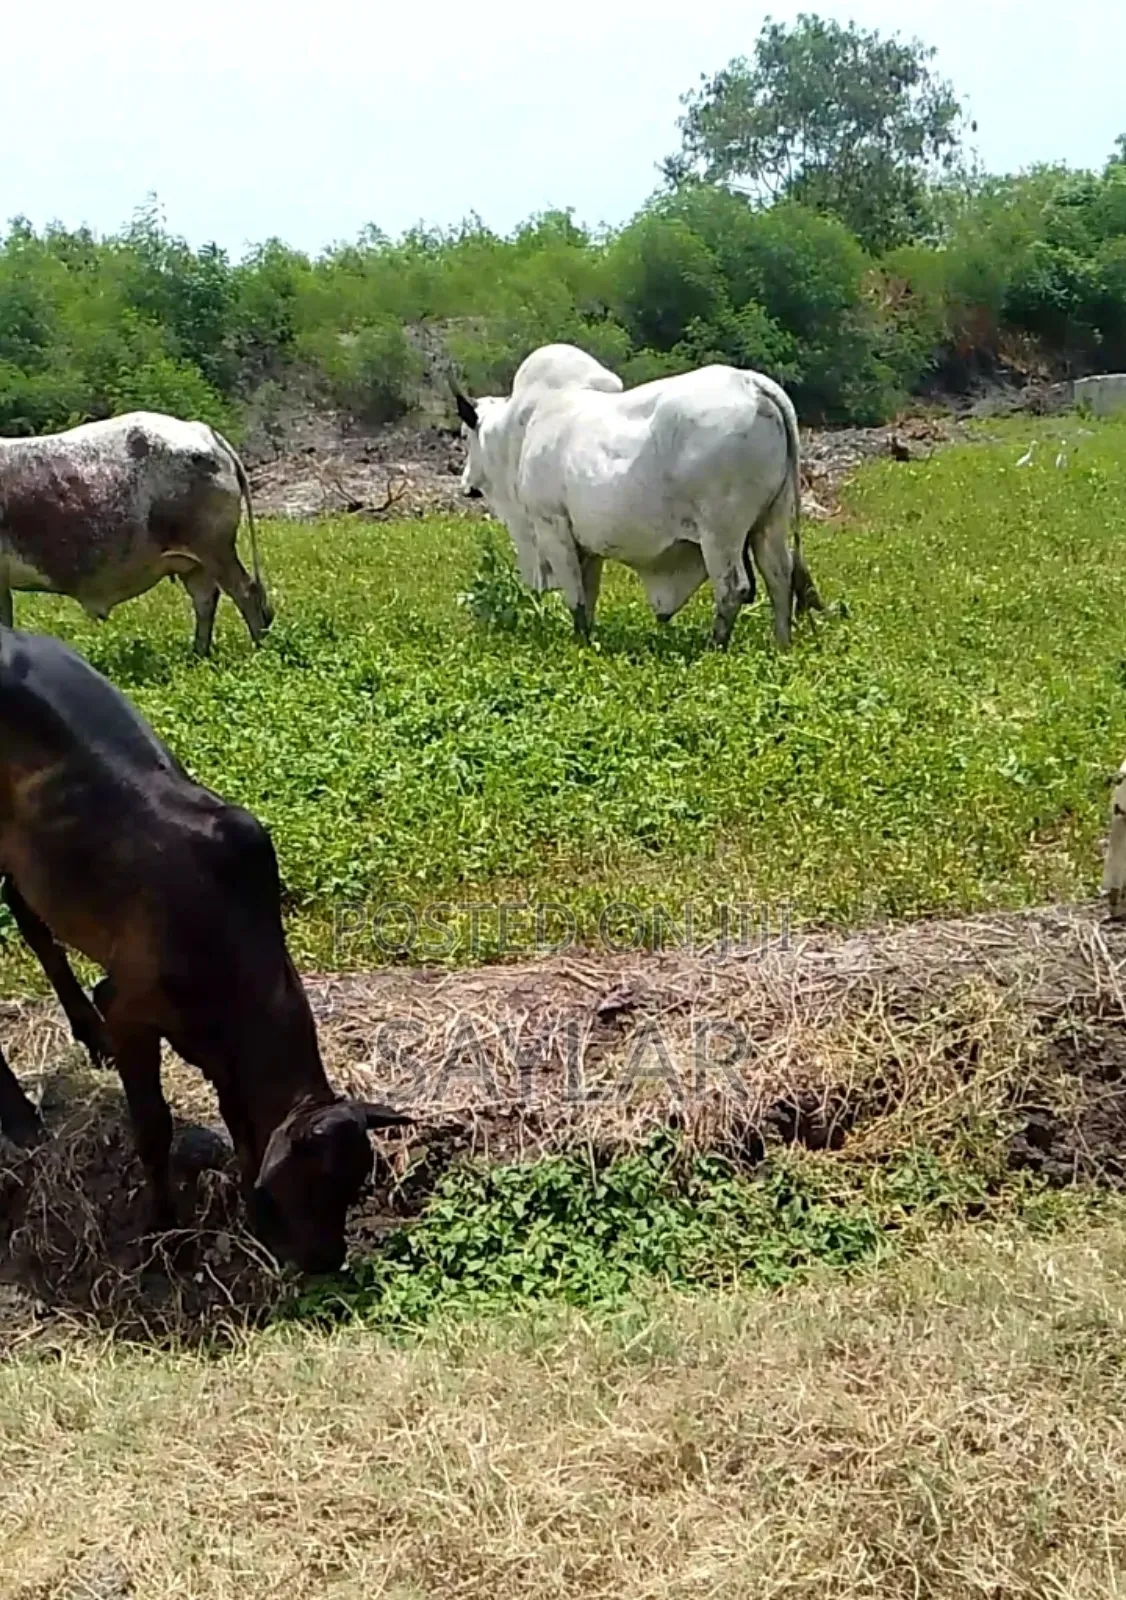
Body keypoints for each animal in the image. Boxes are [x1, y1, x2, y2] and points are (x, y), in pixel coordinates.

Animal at [0, 411, 273, 657]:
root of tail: (200, 429)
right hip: (194, 561)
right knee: (206, 599)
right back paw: (198, 656)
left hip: (214, 549)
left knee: (245, 592)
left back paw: (260, 651)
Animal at [0, 623, 409, 1274]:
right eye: (314, 1185)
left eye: (353, 1184)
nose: (327, 1261)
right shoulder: (130, 1006)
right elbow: (154, 1125)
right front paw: (163, 1227)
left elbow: (235, 1114)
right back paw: (20, 1116)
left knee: (27, 913)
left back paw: (83, 1033)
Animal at [454, 343, 823, 650]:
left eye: (464, 434)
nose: (466, 482)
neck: (520, 430)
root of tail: (750, 382)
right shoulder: (587, 545)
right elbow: (588, 596)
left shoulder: (551, 525)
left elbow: (575, 598)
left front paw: (579, 646)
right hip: (770, 522)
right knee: (779, 577)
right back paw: (781, 646)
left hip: (721, 532)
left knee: (734, 589)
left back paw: (714, 648)